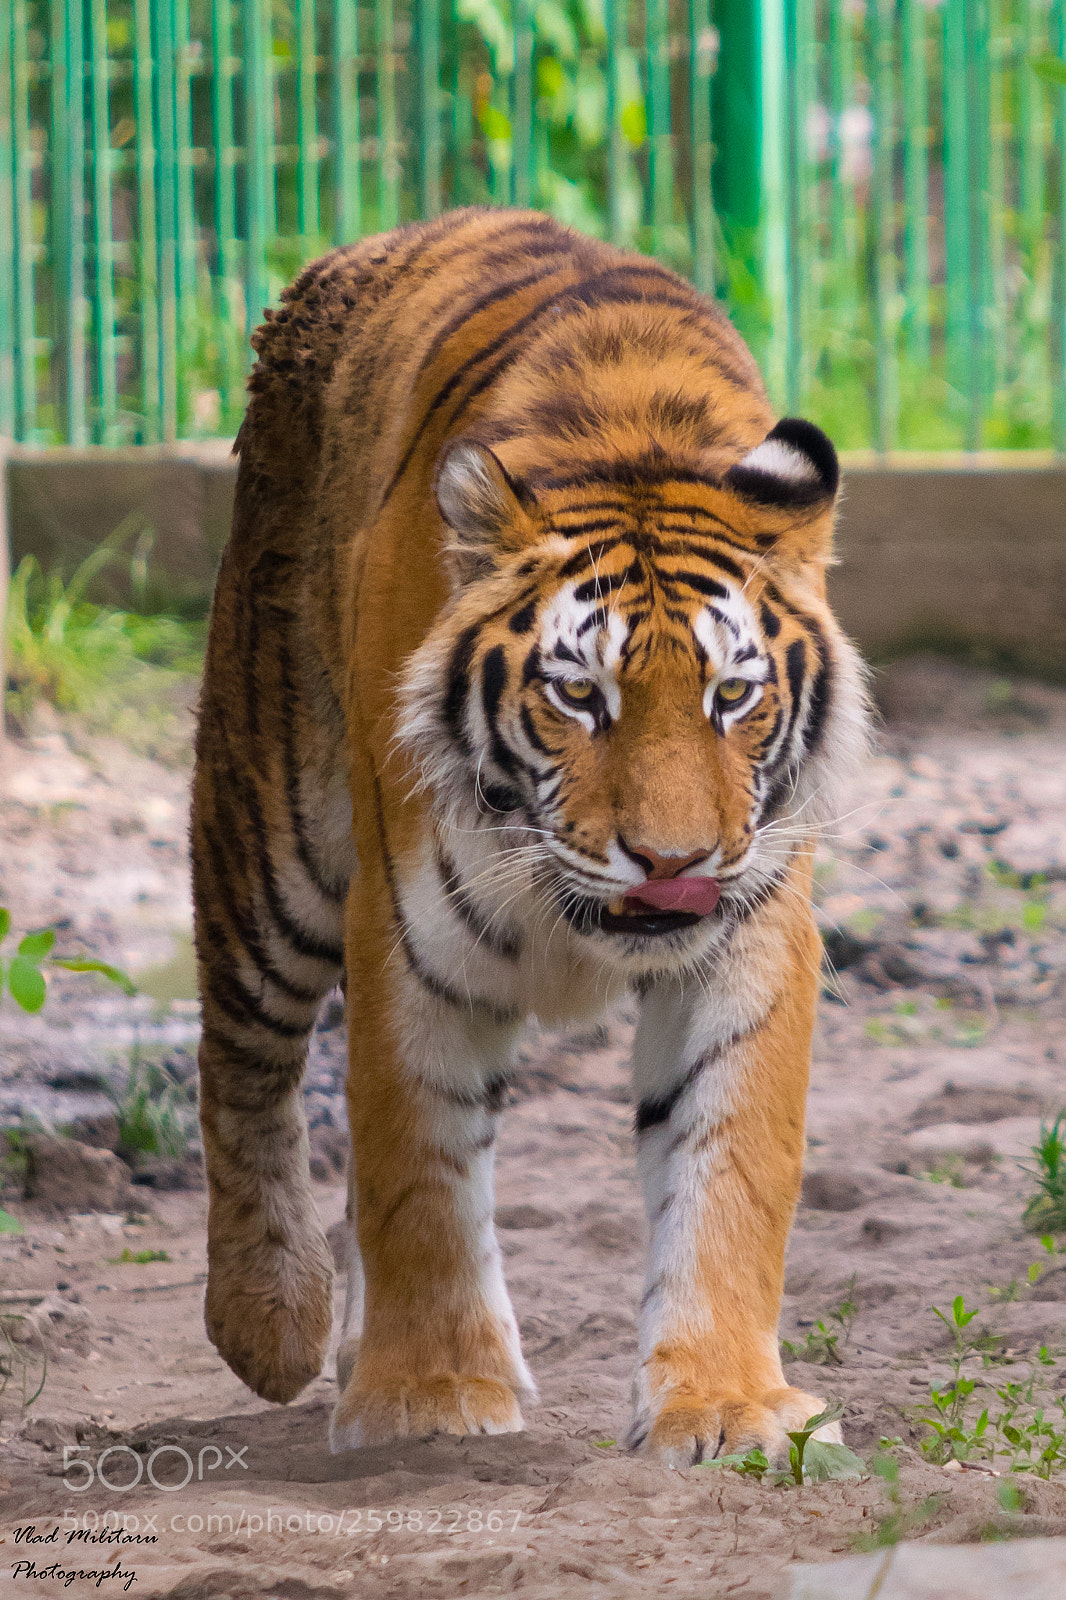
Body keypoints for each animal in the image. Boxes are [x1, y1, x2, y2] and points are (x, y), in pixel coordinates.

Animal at [191, 206, 868, 1466]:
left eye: (732, 697)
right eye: (580, 696)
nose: (672, 862)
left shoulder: (751, 935)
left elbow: (732, 1163)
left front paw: (725, 1403)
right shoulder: (405, 933)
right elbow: (415, 1165)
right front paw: (430, 1394)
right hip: (273, 834)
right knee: (241, 1056)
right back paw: (271, 1319)